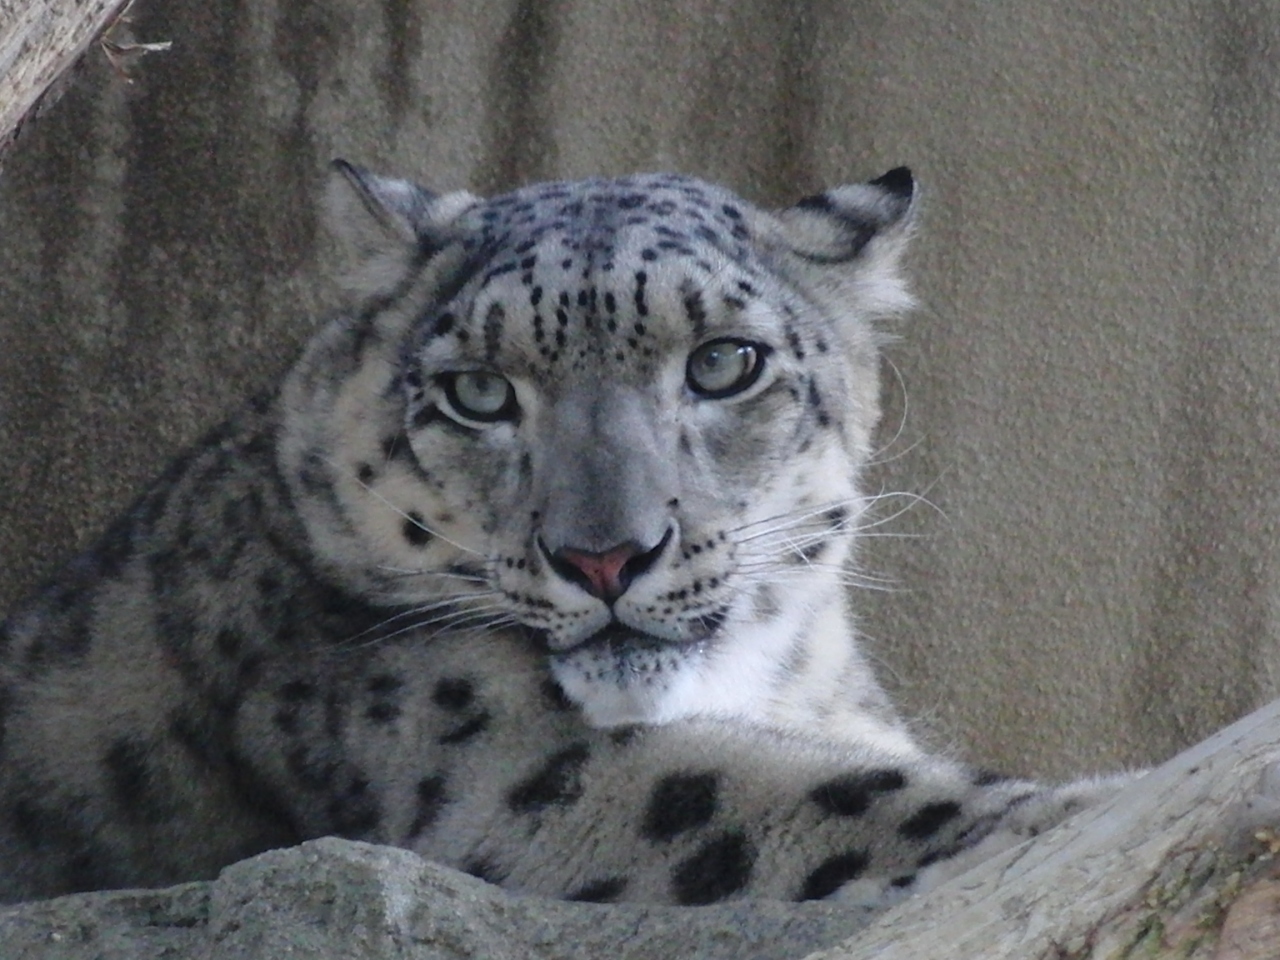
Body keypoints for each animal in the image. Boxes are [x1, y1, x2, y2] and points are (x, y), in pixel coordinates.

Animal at [0, 160, 1131, 911]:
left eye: (723, 362)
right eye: (477, 391)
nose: (604, 557)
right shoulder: (491, 761)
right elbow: (818, 793)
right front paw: (1080, 810)